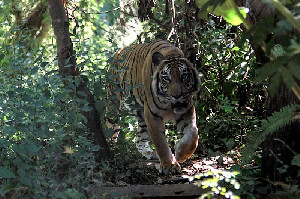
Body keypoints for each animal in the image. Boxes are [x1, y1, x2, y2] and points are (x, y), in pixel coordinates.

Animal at [106, 40, 200, 174]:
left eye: (184, 76)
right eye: (166, 78)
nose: (177, 96)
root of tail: (117, 52)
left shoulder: (186, 110)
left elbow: (193, 134)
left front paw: (180, 154)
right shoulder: (152, 114)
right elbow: (161, 142)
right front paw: (168, 165)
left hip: (141, 114)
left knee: (138, 138)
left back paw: (150, 153)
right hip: (113, 106)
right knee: (111, 130)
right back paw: (111, 151)